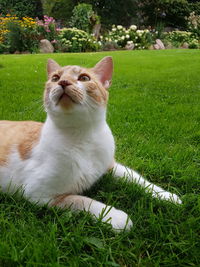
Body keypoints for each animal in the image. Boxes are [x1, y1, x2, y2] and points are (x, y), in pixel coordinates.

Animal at [0, 57, 181, 232]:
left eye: (84, 78)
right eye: (55, 78)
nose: (63, 82)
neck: (83, 137)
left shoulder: (110, 165)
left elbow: (136, 178)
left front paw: (167, 196)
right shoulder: (39, 194)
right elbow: (81, 200)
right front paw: (116, 218)